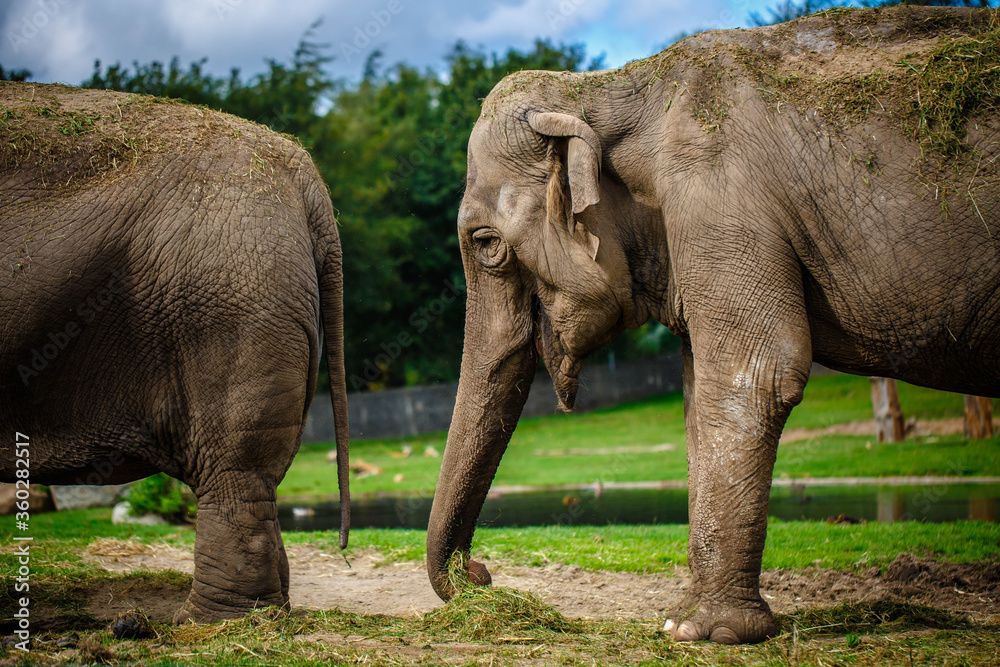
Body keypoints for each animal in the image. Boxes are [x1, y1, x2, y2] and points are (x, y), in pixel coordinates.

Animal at [427, 6, 1000, 644]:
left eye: (486, 244)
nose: (480, 575)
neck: (615, 86)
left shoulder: (720, 199)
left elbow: (757, 374)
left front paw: (707, 629)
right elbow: (698, 392)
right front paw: (682, 616)